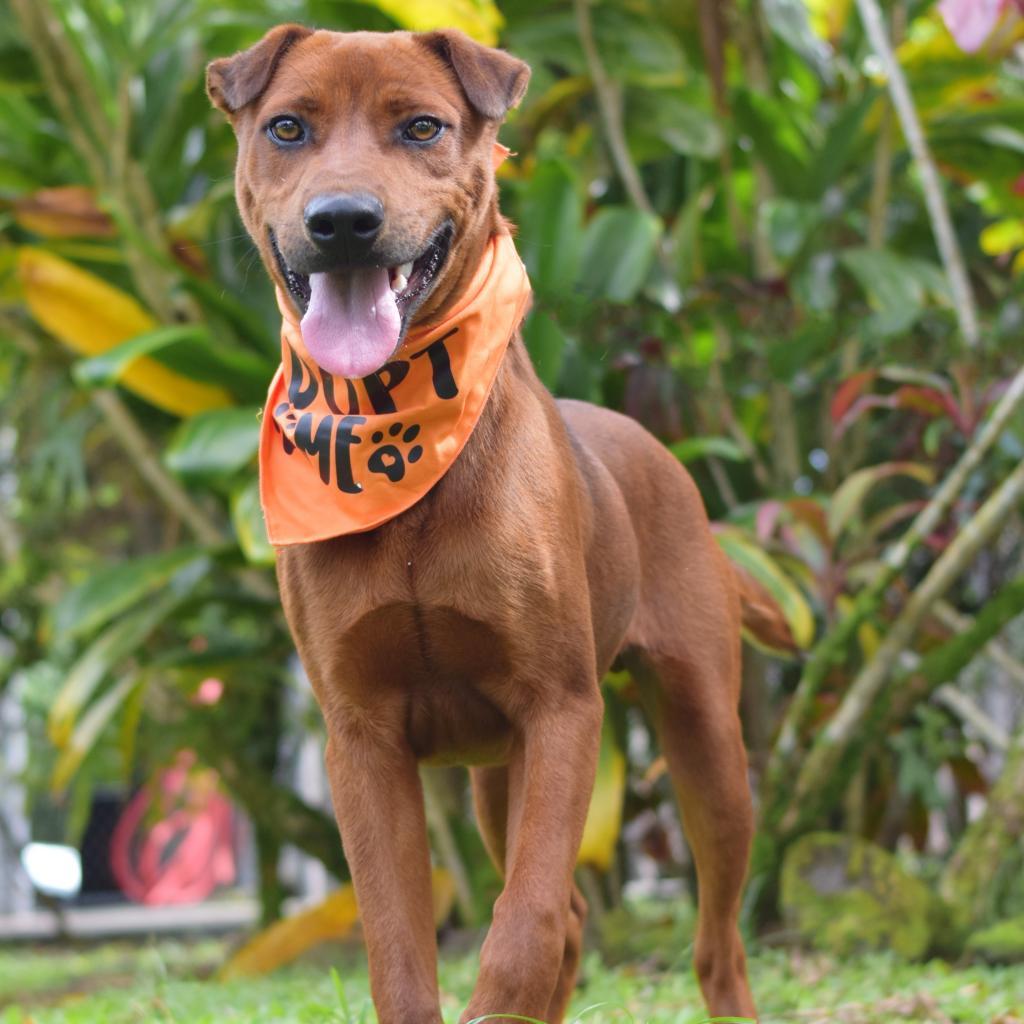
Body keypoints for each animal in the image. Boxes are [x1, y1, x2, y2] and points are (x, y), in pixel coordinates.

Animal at [209, 24, 770, 1024]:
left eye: (423, 127)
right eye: (286, 128)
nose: (342, 220)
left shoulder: (560, 708)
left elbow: (526, 924)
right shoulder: (362, 740)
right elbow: (399, 948)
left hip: (705, 741)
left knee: (710, 937)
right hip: (493, 774)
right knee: (580, 914)